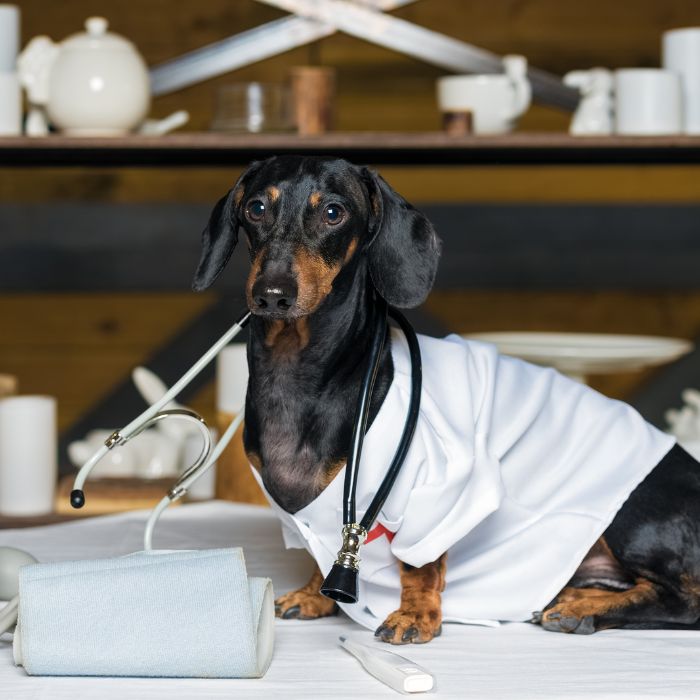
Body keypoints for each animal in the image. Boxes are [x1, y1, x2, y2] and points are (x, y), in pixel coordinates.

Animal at [191, 154, 700, 644]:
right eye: (256, 208)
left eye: (334, 213)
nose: (272, 295)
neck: (303, 373)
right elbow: (321, 555)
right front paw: (314, 595)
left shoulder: (437, 490)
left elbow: (420, 564)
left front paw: (415, 615)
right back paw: (580, 594)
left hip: (631, 513)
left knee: (687, 602)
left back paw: (584, 610)